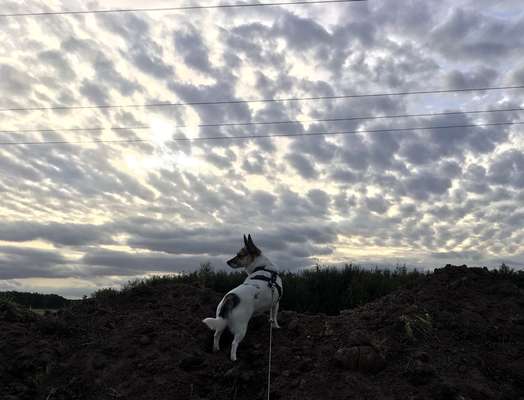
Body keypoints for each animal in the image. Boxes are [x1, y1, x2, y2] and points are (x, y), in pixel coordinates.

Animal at [202, 234, 282, 362]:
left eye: (240, 255)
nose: (227, 262)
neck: (262, 267)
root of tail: (230, 297)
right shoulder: (276, 303)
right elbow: (274, 317)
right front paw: (276, 327)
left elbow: (271, 317)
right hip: (241, 328)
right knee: (234, 343)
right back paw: (234, 358)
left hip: (221, 321)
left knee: (216, 335)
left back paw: (216, 349)